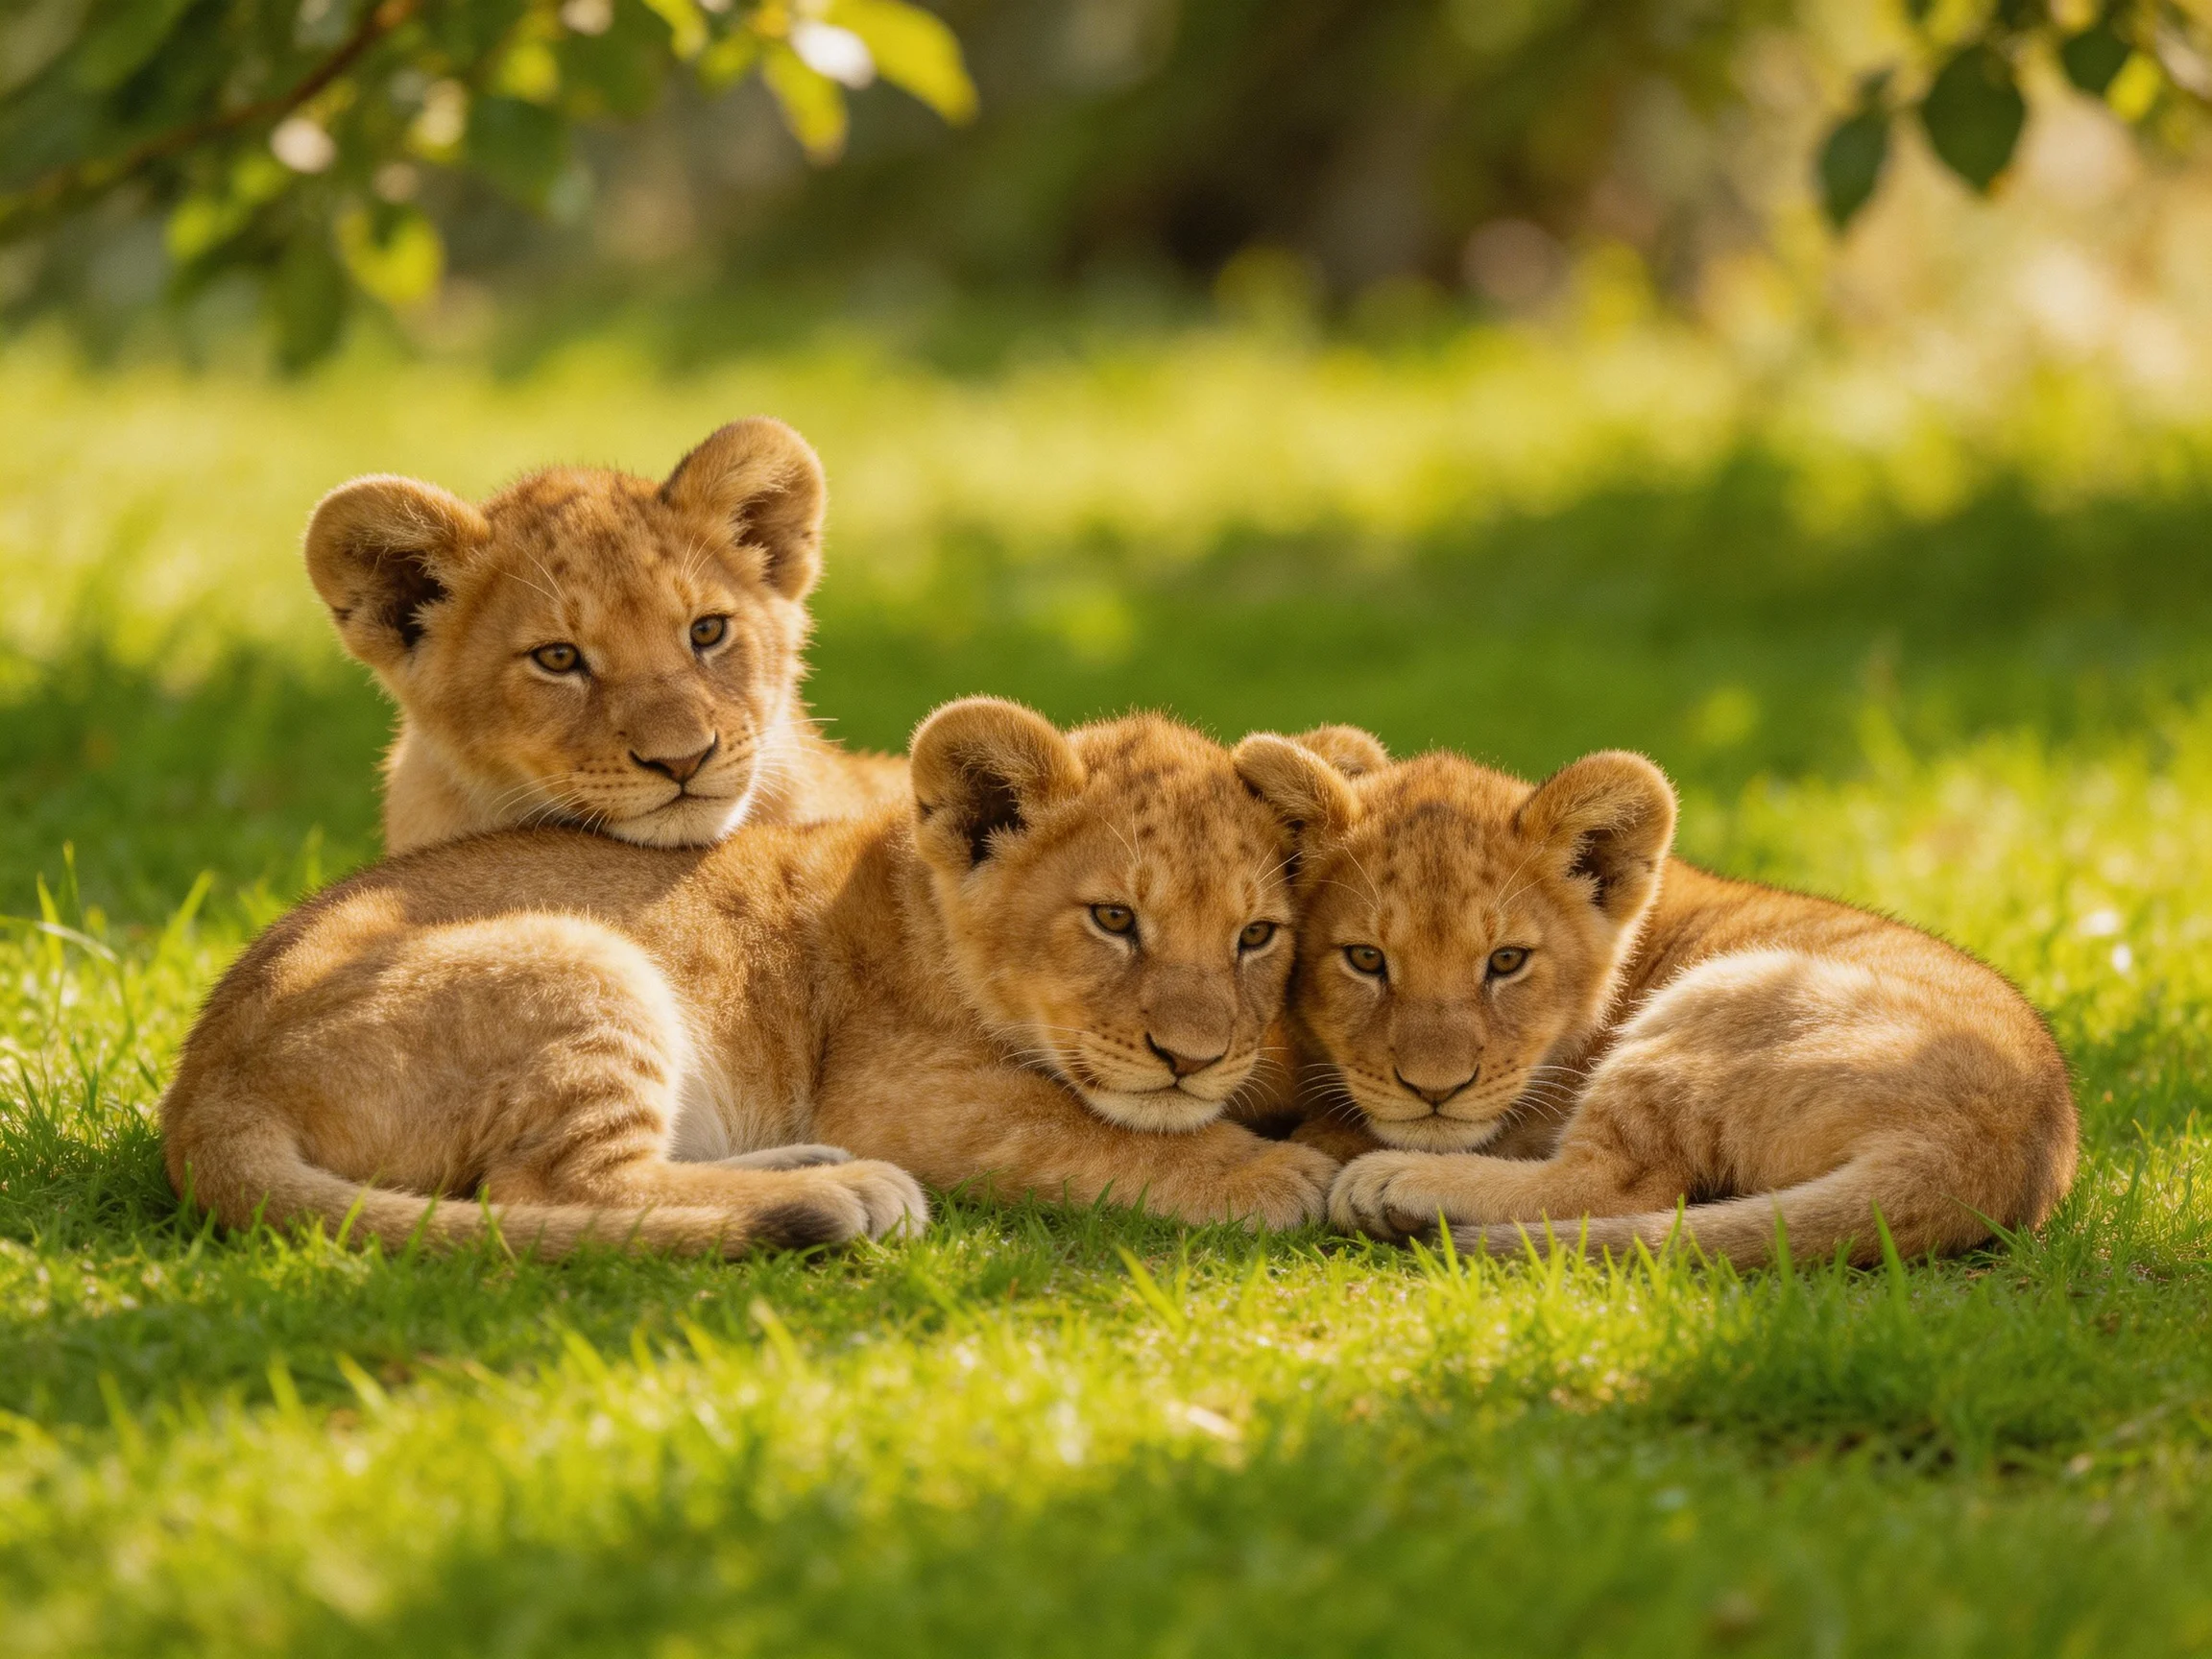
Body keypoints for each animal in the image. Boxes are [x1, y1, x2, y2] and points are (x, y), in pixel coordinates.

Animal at [157, 700, 1344, 1256]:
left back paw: (810, 1169)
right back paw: (840, 1193)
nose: (1193, 1059)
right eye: (1113, 920)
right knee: (559, 1188)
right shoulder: (905, 1092)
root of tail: (205, 1082)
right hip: (583, 963)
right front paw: (1264, 1171)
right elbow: (1085, 1128)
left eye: (1256, 936)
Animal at [1234, 735, 2079, 1265]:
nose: (1433, 1091)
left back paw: (1394, 1184)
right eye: (1365, 959)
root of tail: (1996, 1153)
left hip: (1717, 1001)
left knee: (1613, 1184)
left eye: (1506, 961)